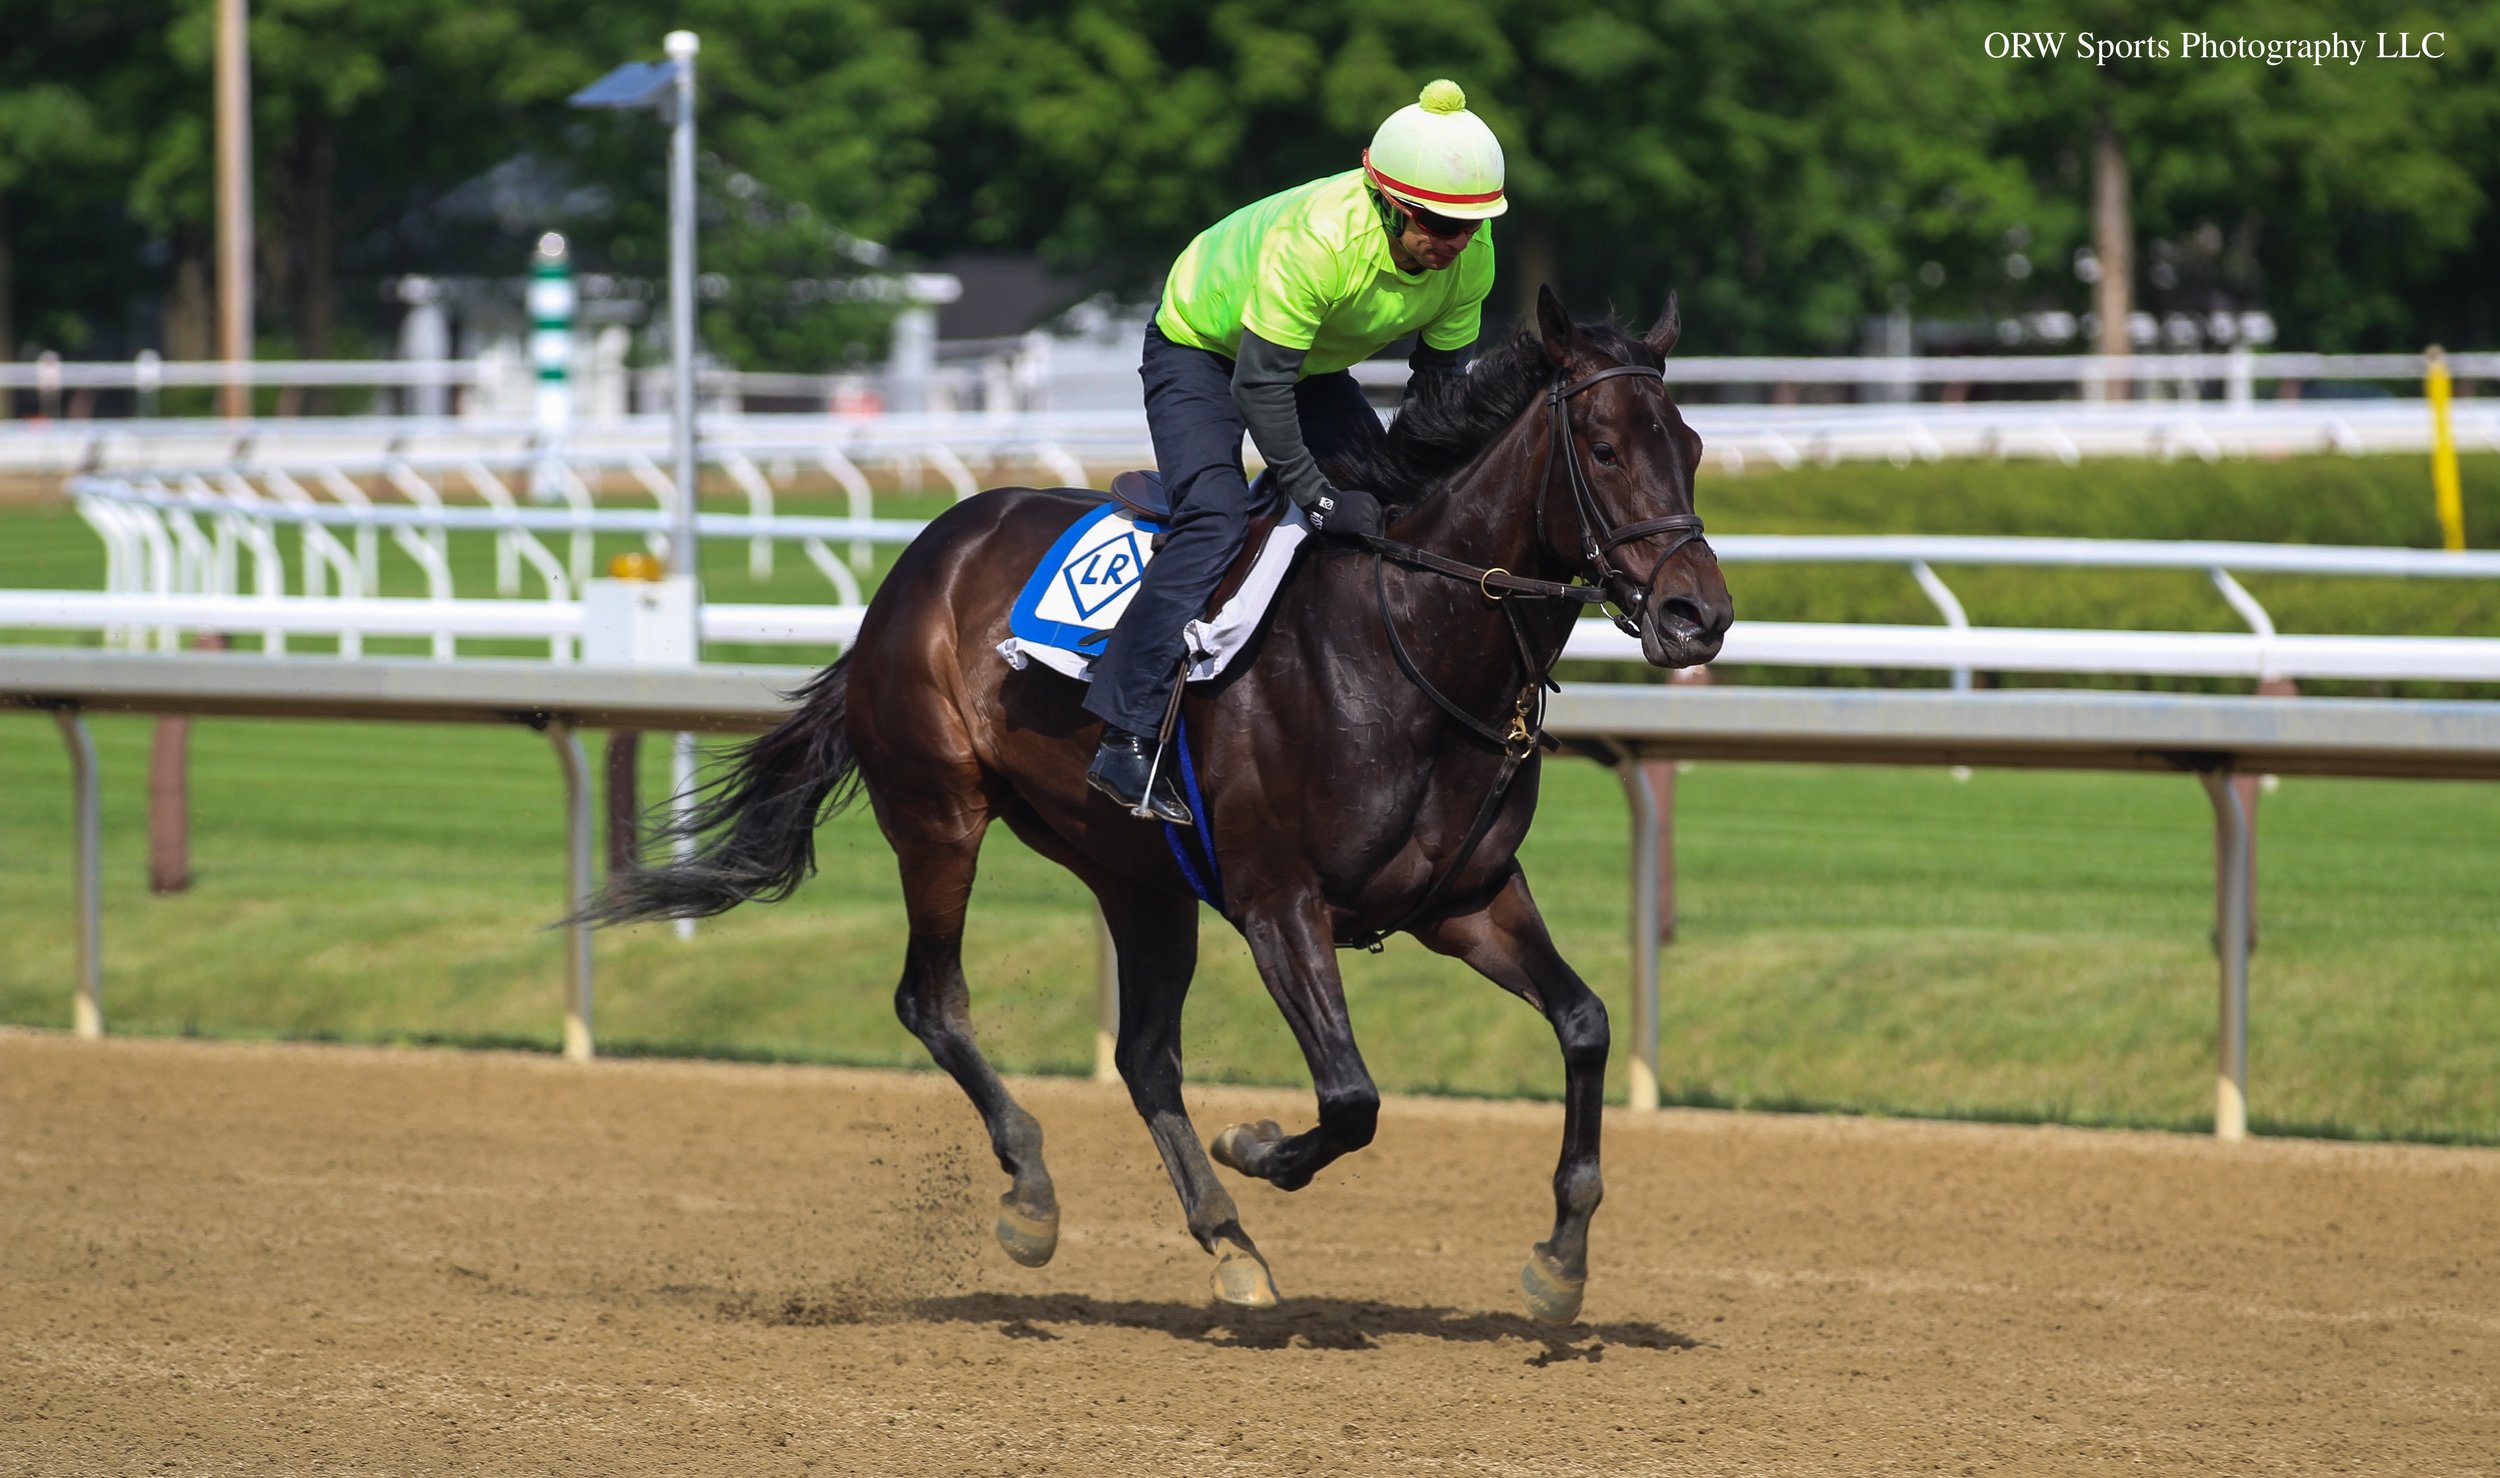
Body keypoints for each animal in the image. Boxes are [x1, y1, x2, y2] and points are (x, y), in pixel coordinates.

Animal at [585, 286, 1732, 1324]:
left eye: (1689, 442)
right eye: (1602, 445)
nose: (1699, 615)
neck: (1407, 637)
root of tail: (920, 561)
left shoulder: (1467, 900)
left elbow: (1584, 1023)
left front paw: (1560, 1260)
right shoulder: (1280, 903)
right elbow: (1351, 1097)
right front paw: (1259, 1143)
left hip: (1139, 877)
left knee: (1142, 1057)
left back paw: (1228, 1243)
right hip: (939, 812)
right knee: (933, 1000)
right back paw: (1033, 1195)